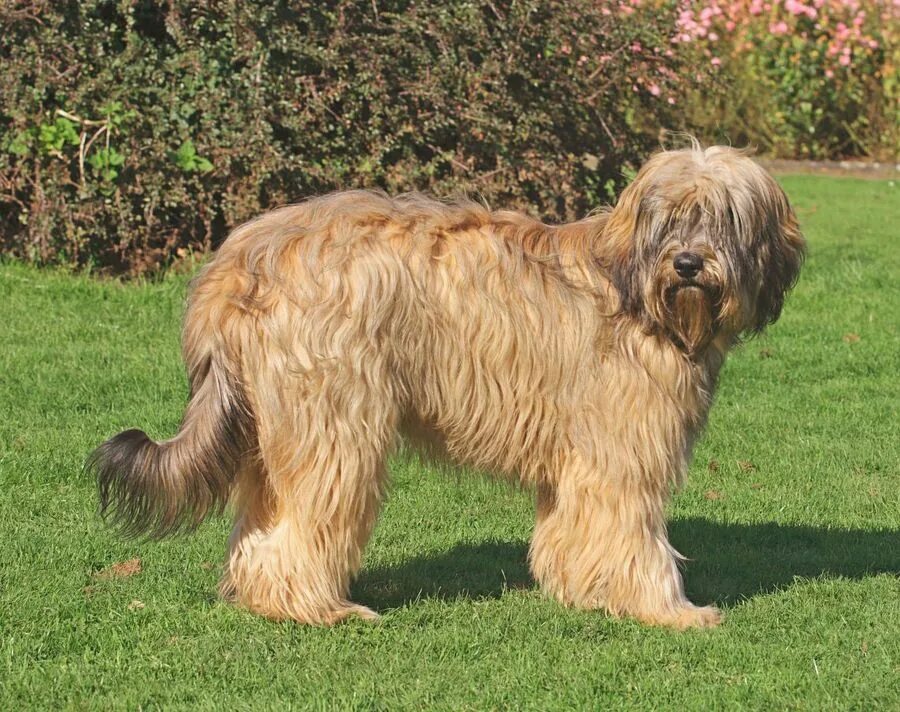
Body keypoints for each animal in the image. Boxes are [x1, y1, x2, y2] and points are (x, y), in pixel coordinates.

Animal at [89, 145, 808, 628]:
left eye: (723, 218)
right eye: (671, 219)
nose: (688, 264)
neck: (639, 294)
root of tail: (239, 258)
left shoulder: (579, 456)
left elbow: (571, 530)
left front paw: (581, 590)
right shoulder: (622, 449)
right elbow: (633, 532)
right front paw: (670, 610)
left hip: (273, 426)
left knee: (265, 526)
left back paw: (271, 600)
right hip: (335, 418)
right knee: (312, 516)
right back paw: (322, 609)